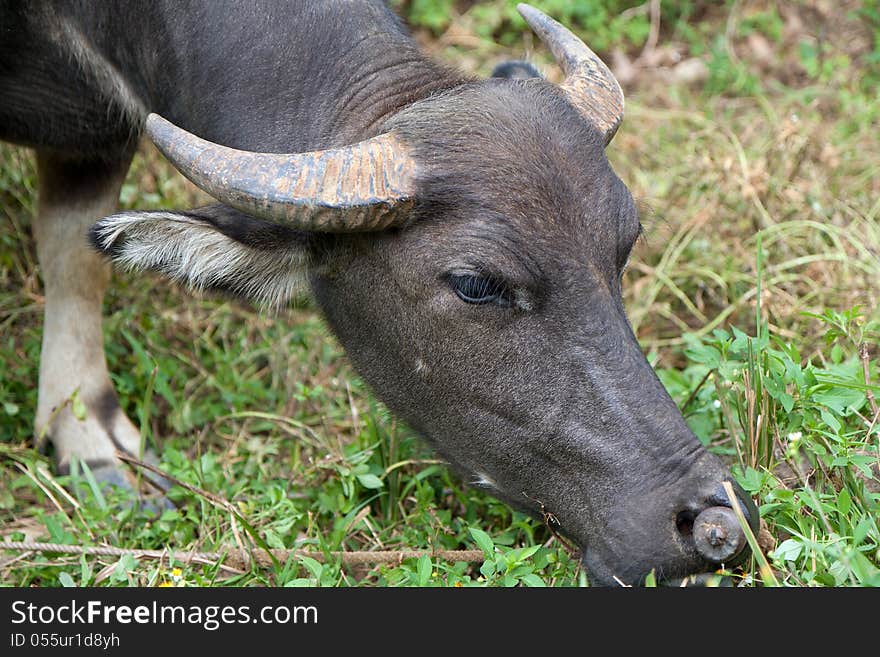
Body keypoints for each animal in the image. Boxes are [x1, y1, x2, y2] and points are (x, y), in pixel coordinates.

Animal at [0, 0, 756, 584]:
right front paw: (84, 434)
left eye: (624, 243)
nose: (710, 519)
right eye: (475, 283)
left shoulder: (95, 138)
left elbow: (77, 256)